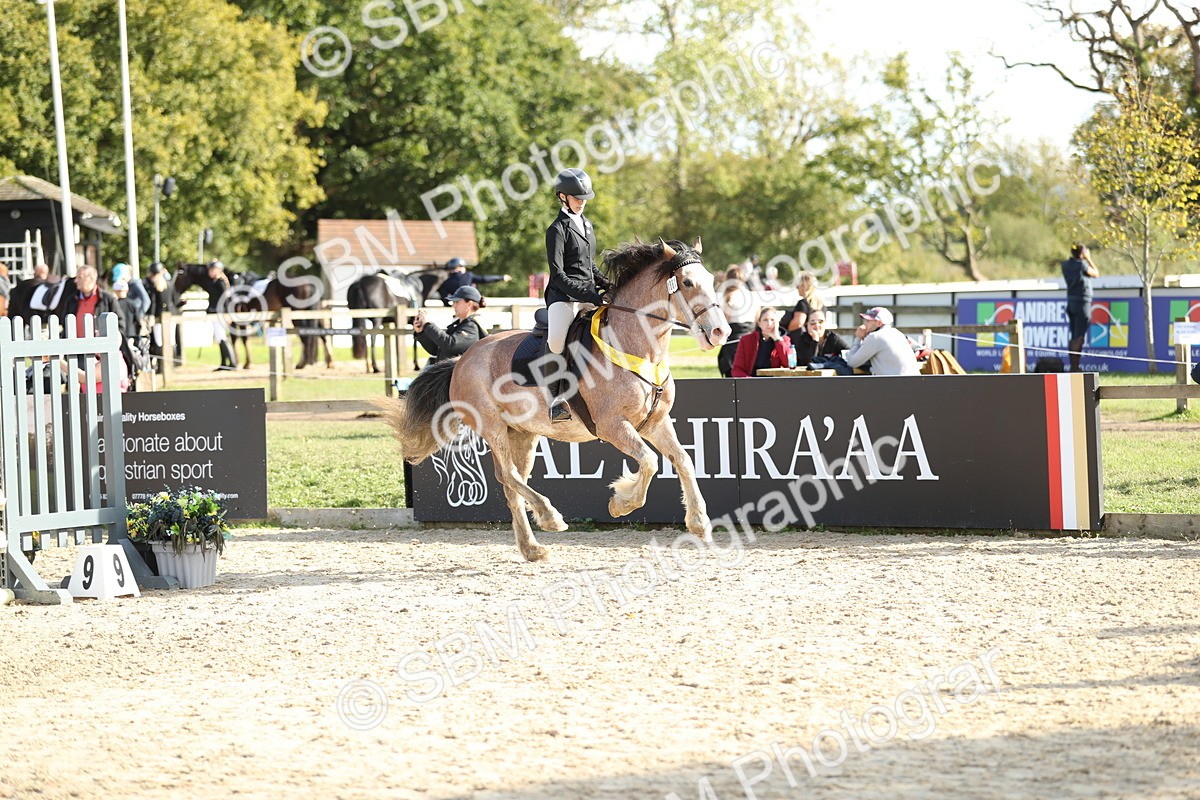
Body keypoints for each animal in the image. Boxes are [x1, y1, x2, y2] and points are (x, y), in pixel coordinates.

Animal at [379, 238, 730, 562]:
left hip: (523, 433)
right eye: (687, 283)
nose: (720, 333)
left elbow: (682, 460)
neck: (636, 347)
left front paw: (699, 522)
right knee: (509, 476)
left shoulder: (655, 422)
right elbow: (650, 461)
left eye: (712, 279)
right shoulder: (613, 426)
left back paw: (531, 548)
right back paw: (550, 518)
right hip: (492, 427)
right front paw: (621, 503)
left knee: (511, 483)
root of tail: (461, 360)